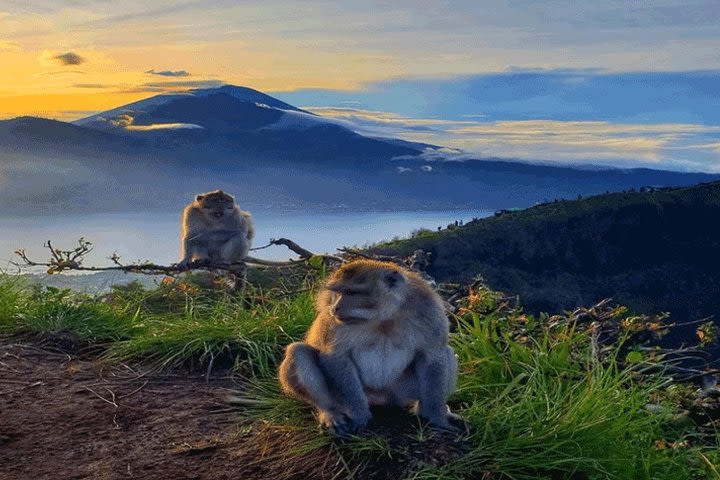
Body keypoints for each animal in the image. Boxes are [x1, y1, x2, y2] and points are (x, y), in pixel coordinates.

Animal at [278, 260, 464, 436]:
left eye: (352, 292)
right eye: (338, 293)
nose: (335, 308)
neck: (384, 318)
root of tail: (380, 398)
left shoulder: (428, 310)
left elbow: (432, 354)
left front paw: (436, 417)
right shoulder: (334, 323)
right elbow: (335, 358)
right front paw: (359, 416)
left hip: (401, 392)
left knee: (446, 352)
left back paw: (422, 409)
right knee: (298, 352)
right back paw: (330, 412)